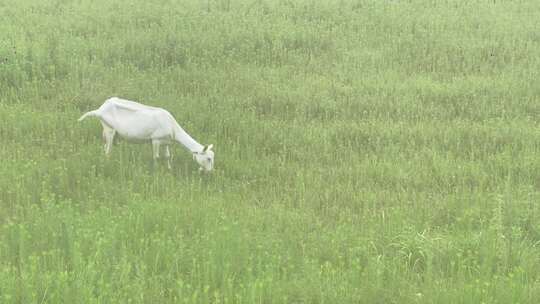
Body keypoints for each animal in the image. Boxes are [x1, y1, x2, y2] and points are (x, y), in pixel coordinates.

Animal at [79, 97, 214, 171]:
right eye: (208, 158)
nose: (210, 172)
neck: (173, 127)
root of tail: (99, 110)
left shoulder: (166, 142)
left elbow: (167, 156)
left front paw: (169, 169)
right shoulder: (155, 140)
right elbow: (156, 157)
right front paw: (156, 171)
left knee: (104, 148)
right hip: (109, 129)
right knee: (108, 150)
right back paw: (108, 164)